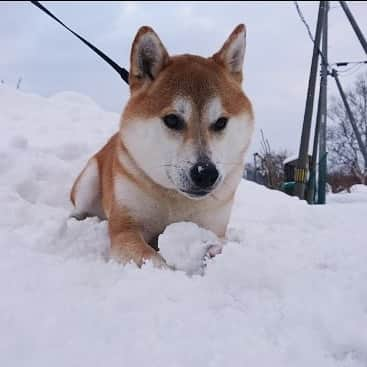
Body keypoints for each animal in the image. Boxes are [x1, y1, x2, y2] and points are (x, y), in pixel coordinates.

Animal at [72, 24, 256, 268]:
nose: (205, 173)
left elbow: (218, 244)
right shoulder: (125, 227)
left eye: (220, 122)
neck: (176, 199)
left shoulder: (214, 228)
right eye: (172, 120)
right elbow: (153, 260)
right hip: (89, 181)